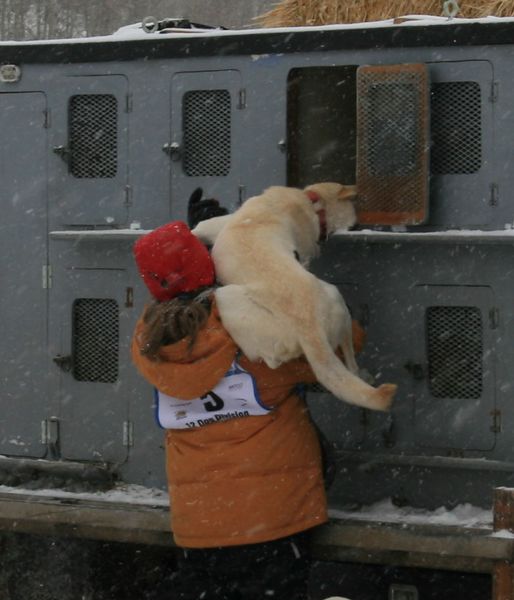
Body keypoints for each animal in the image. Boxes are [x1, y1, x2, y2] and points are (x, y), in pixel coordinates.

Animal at [193, 182, 396, 412]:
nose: (356, 228)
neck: (310, 202)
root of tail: (310, 328)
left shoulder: (216, 224)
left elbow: (198, 227)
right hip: (337, 301)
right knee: (350, 364)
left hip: (227, 298)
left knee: (271, 360)